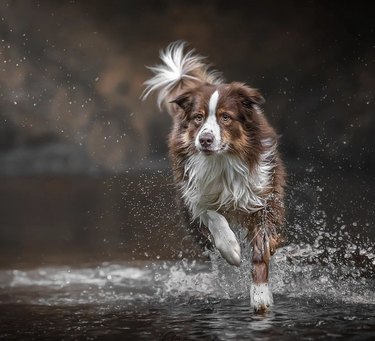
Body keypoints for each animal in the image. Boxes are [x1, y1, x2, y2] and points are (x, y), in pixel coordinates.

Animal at [142, 41, 286, 310]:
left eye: (225, 117)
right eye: (198, 117)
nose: (205, 139)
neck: (222, 161)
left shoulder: (262, 197)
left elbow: (261, 251)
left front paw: (260, 294)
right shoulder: (194, 193)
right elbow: (213, 216)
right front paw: (231, 250)